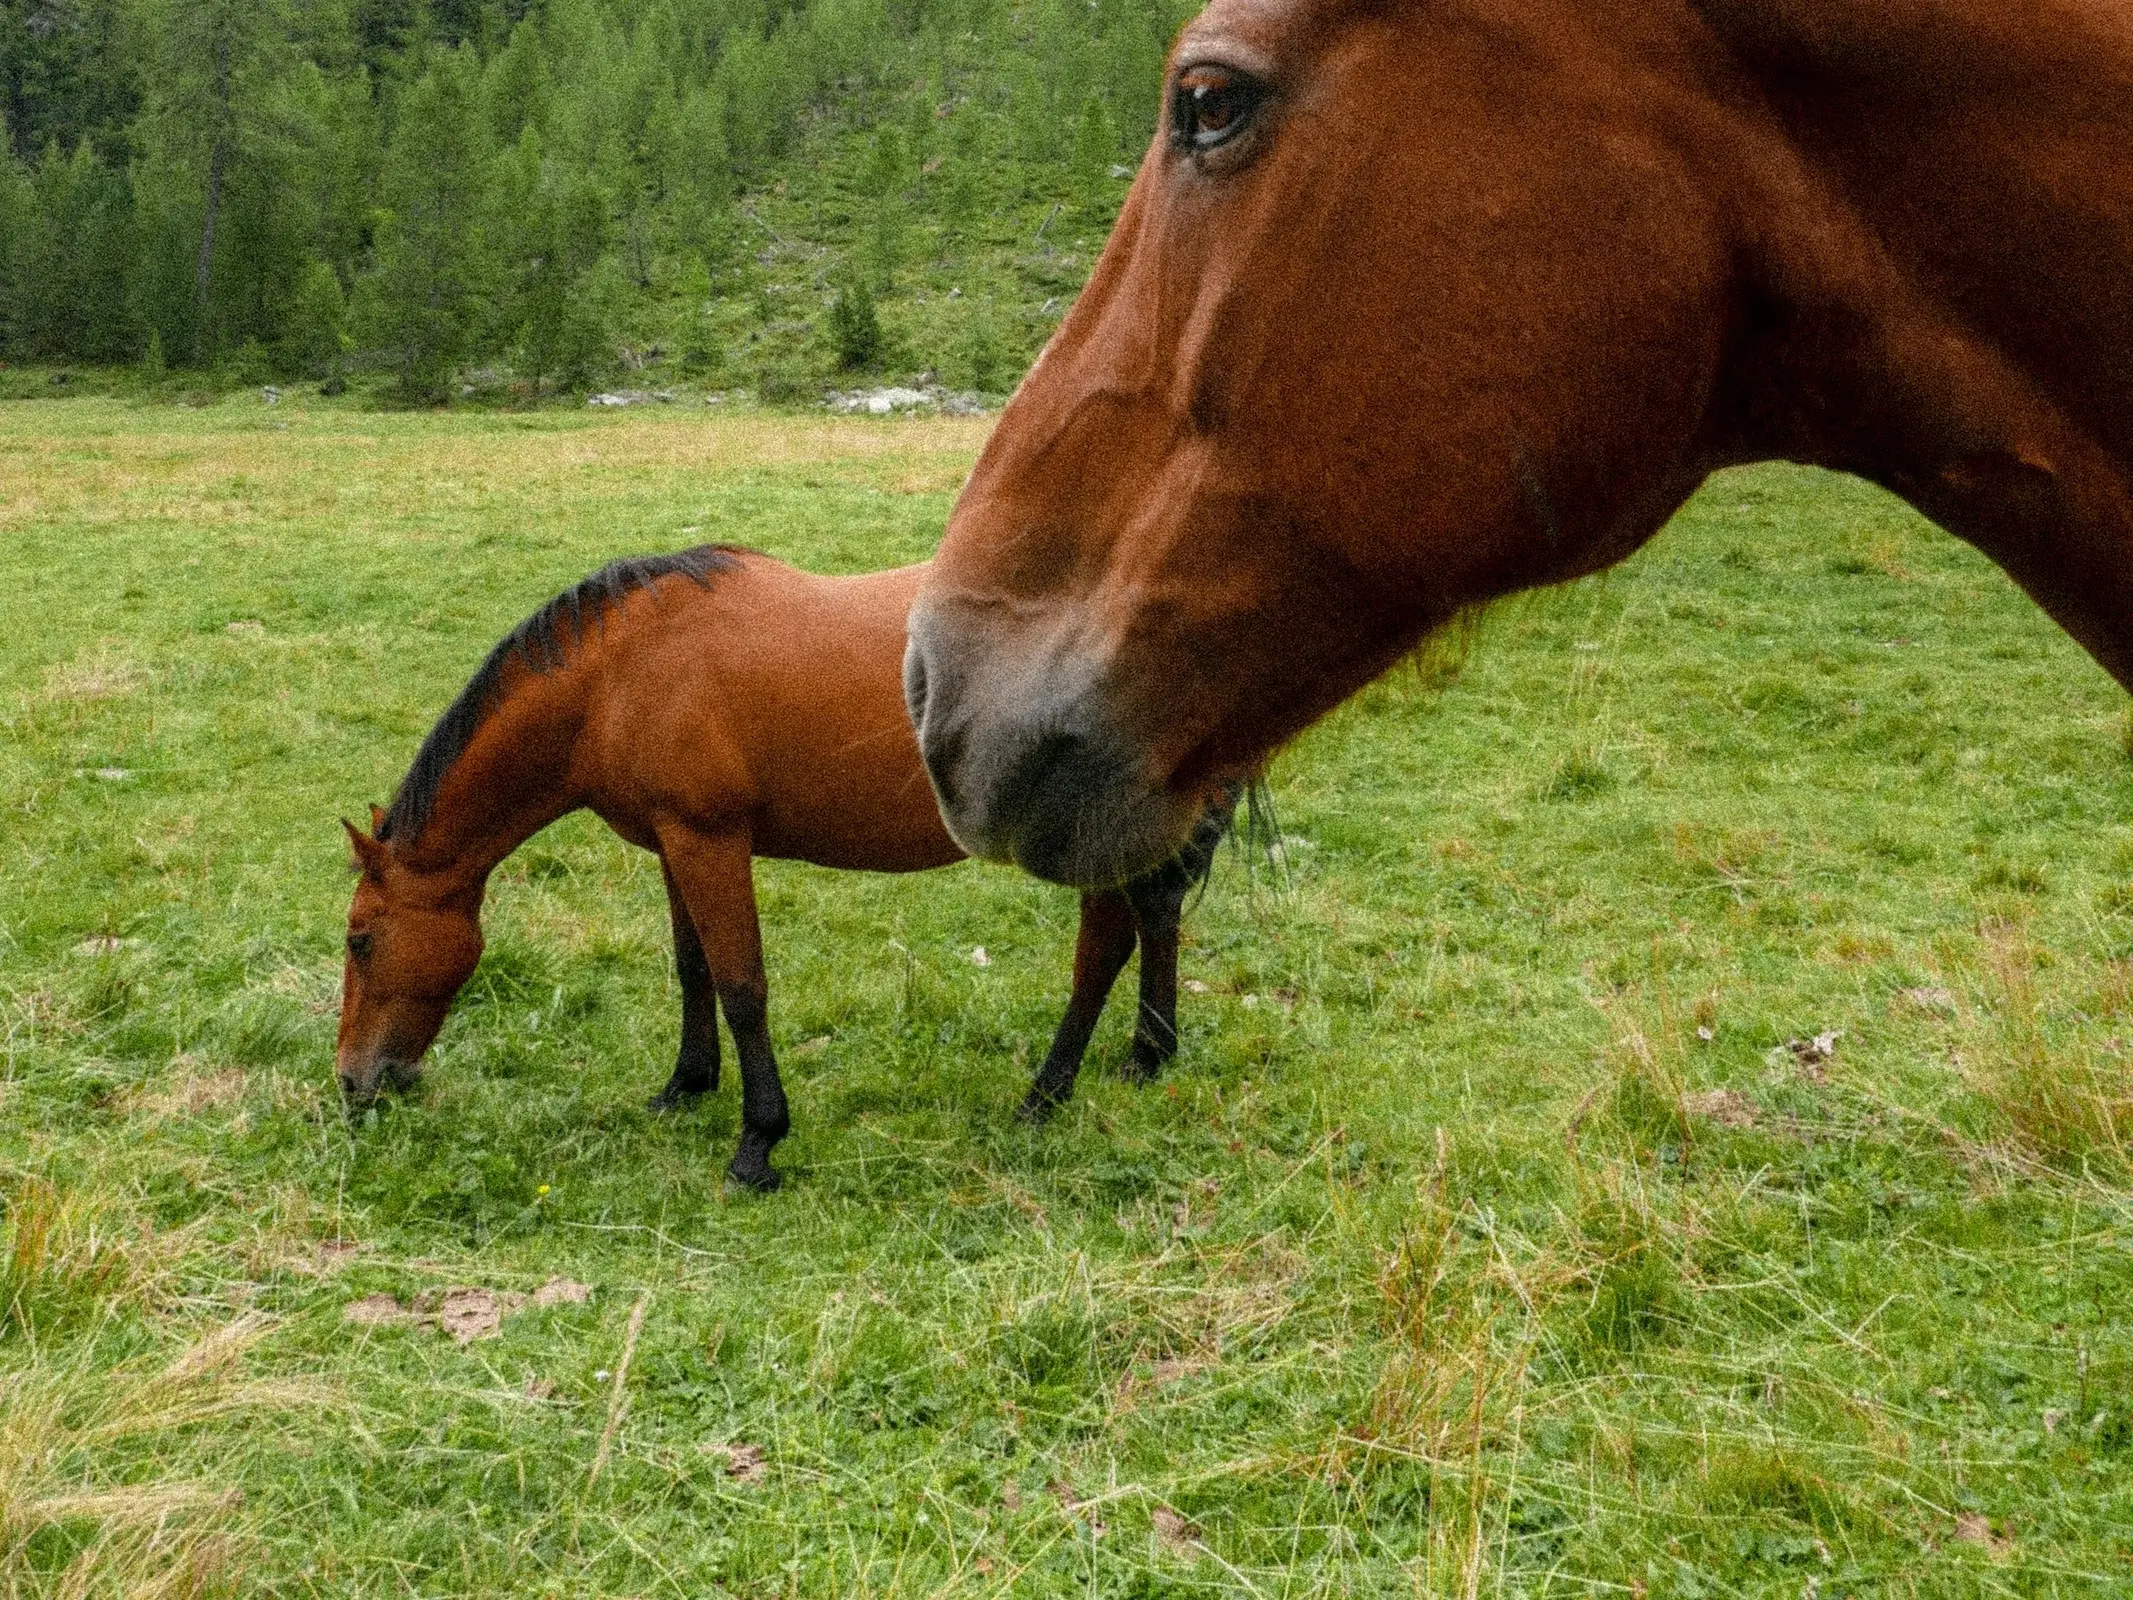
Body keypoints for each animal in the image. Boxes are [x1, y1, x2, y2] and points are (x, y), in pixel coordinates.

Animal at [332, 550, 1237, 1194]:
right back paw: (1147, 1055)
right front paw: (685, 1086)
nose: (354, 1083)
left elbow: (741, 986)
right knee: (1155, 915)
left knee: (1103, 946)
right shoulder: (675, 842)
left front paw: (756, 1144)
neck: (615, 677)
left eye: (359, 941)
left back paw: (1045, 1096)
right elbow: (693, 968)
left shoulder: (710, 840)